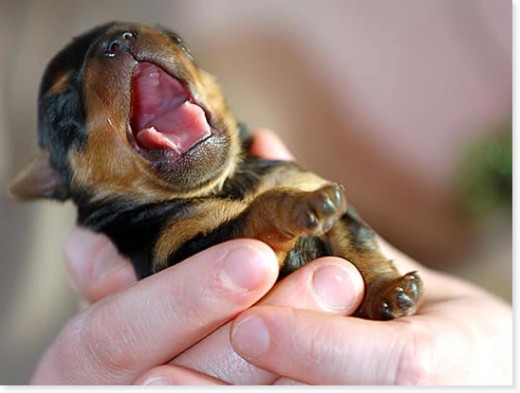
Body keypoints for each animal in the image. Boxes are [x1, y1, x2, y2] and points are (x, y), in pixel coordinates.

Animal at [8, 21, 422, 318]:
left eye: (176, 38)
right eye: (63, 109)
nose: (116, 40)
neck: (226, 184)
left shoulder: (300, 179)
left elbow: (358, 241)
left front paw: (388, 291)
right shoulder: (182, 250)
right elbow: (259, 212)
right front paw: (299, 206)